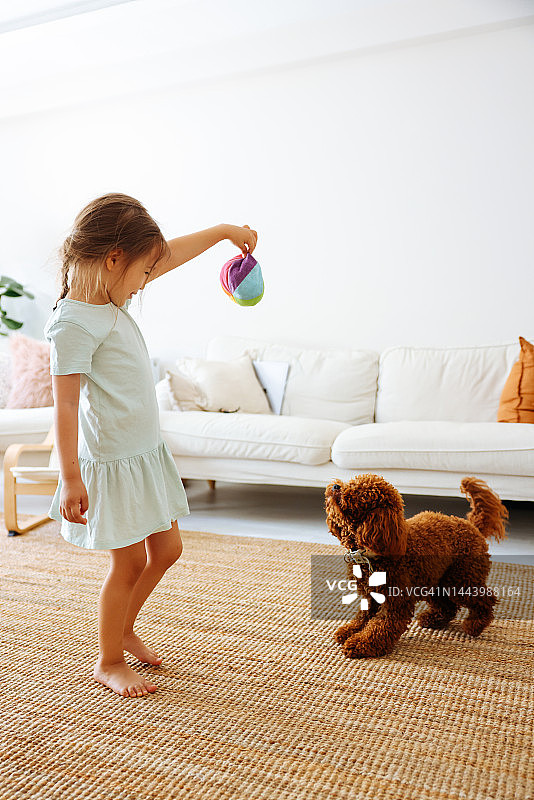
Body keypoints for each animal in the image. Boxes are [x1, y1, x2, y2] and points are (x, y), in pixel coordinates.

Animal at [326, 476, 510, 656]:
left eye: (357, 493)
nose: (335, 486)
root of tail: (472, 526)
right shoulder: (371, 595)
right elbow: (364, 616)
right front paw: (350, 631)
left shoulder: (395, 600)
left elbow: (381, 625)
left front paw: (362, 644)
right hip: (436, 580)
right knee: (448, 606)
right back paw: (433, 619)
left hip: (461, 579)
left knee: (485, 599)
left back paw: (475, 625)